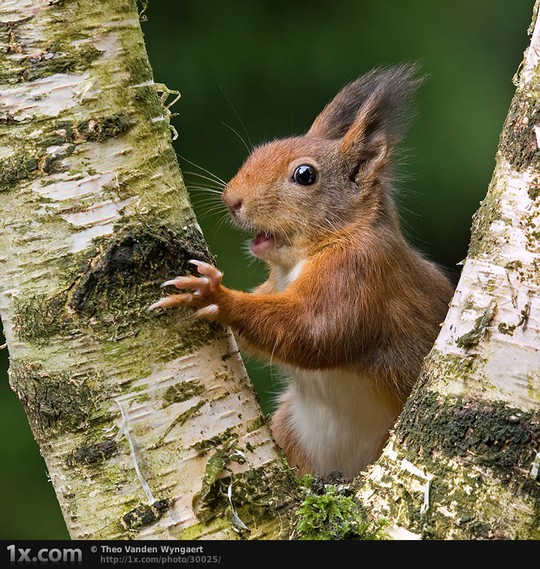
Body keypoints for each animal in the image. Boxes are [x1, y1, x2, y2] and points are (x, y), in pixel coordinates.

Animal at [152, 64, 456, 478]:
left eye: (305, 175)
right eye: (260, 151)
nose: (231, 200)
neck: (302, 258)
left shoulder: (361, 271)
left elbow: (315, 329)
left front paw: (215, 296)